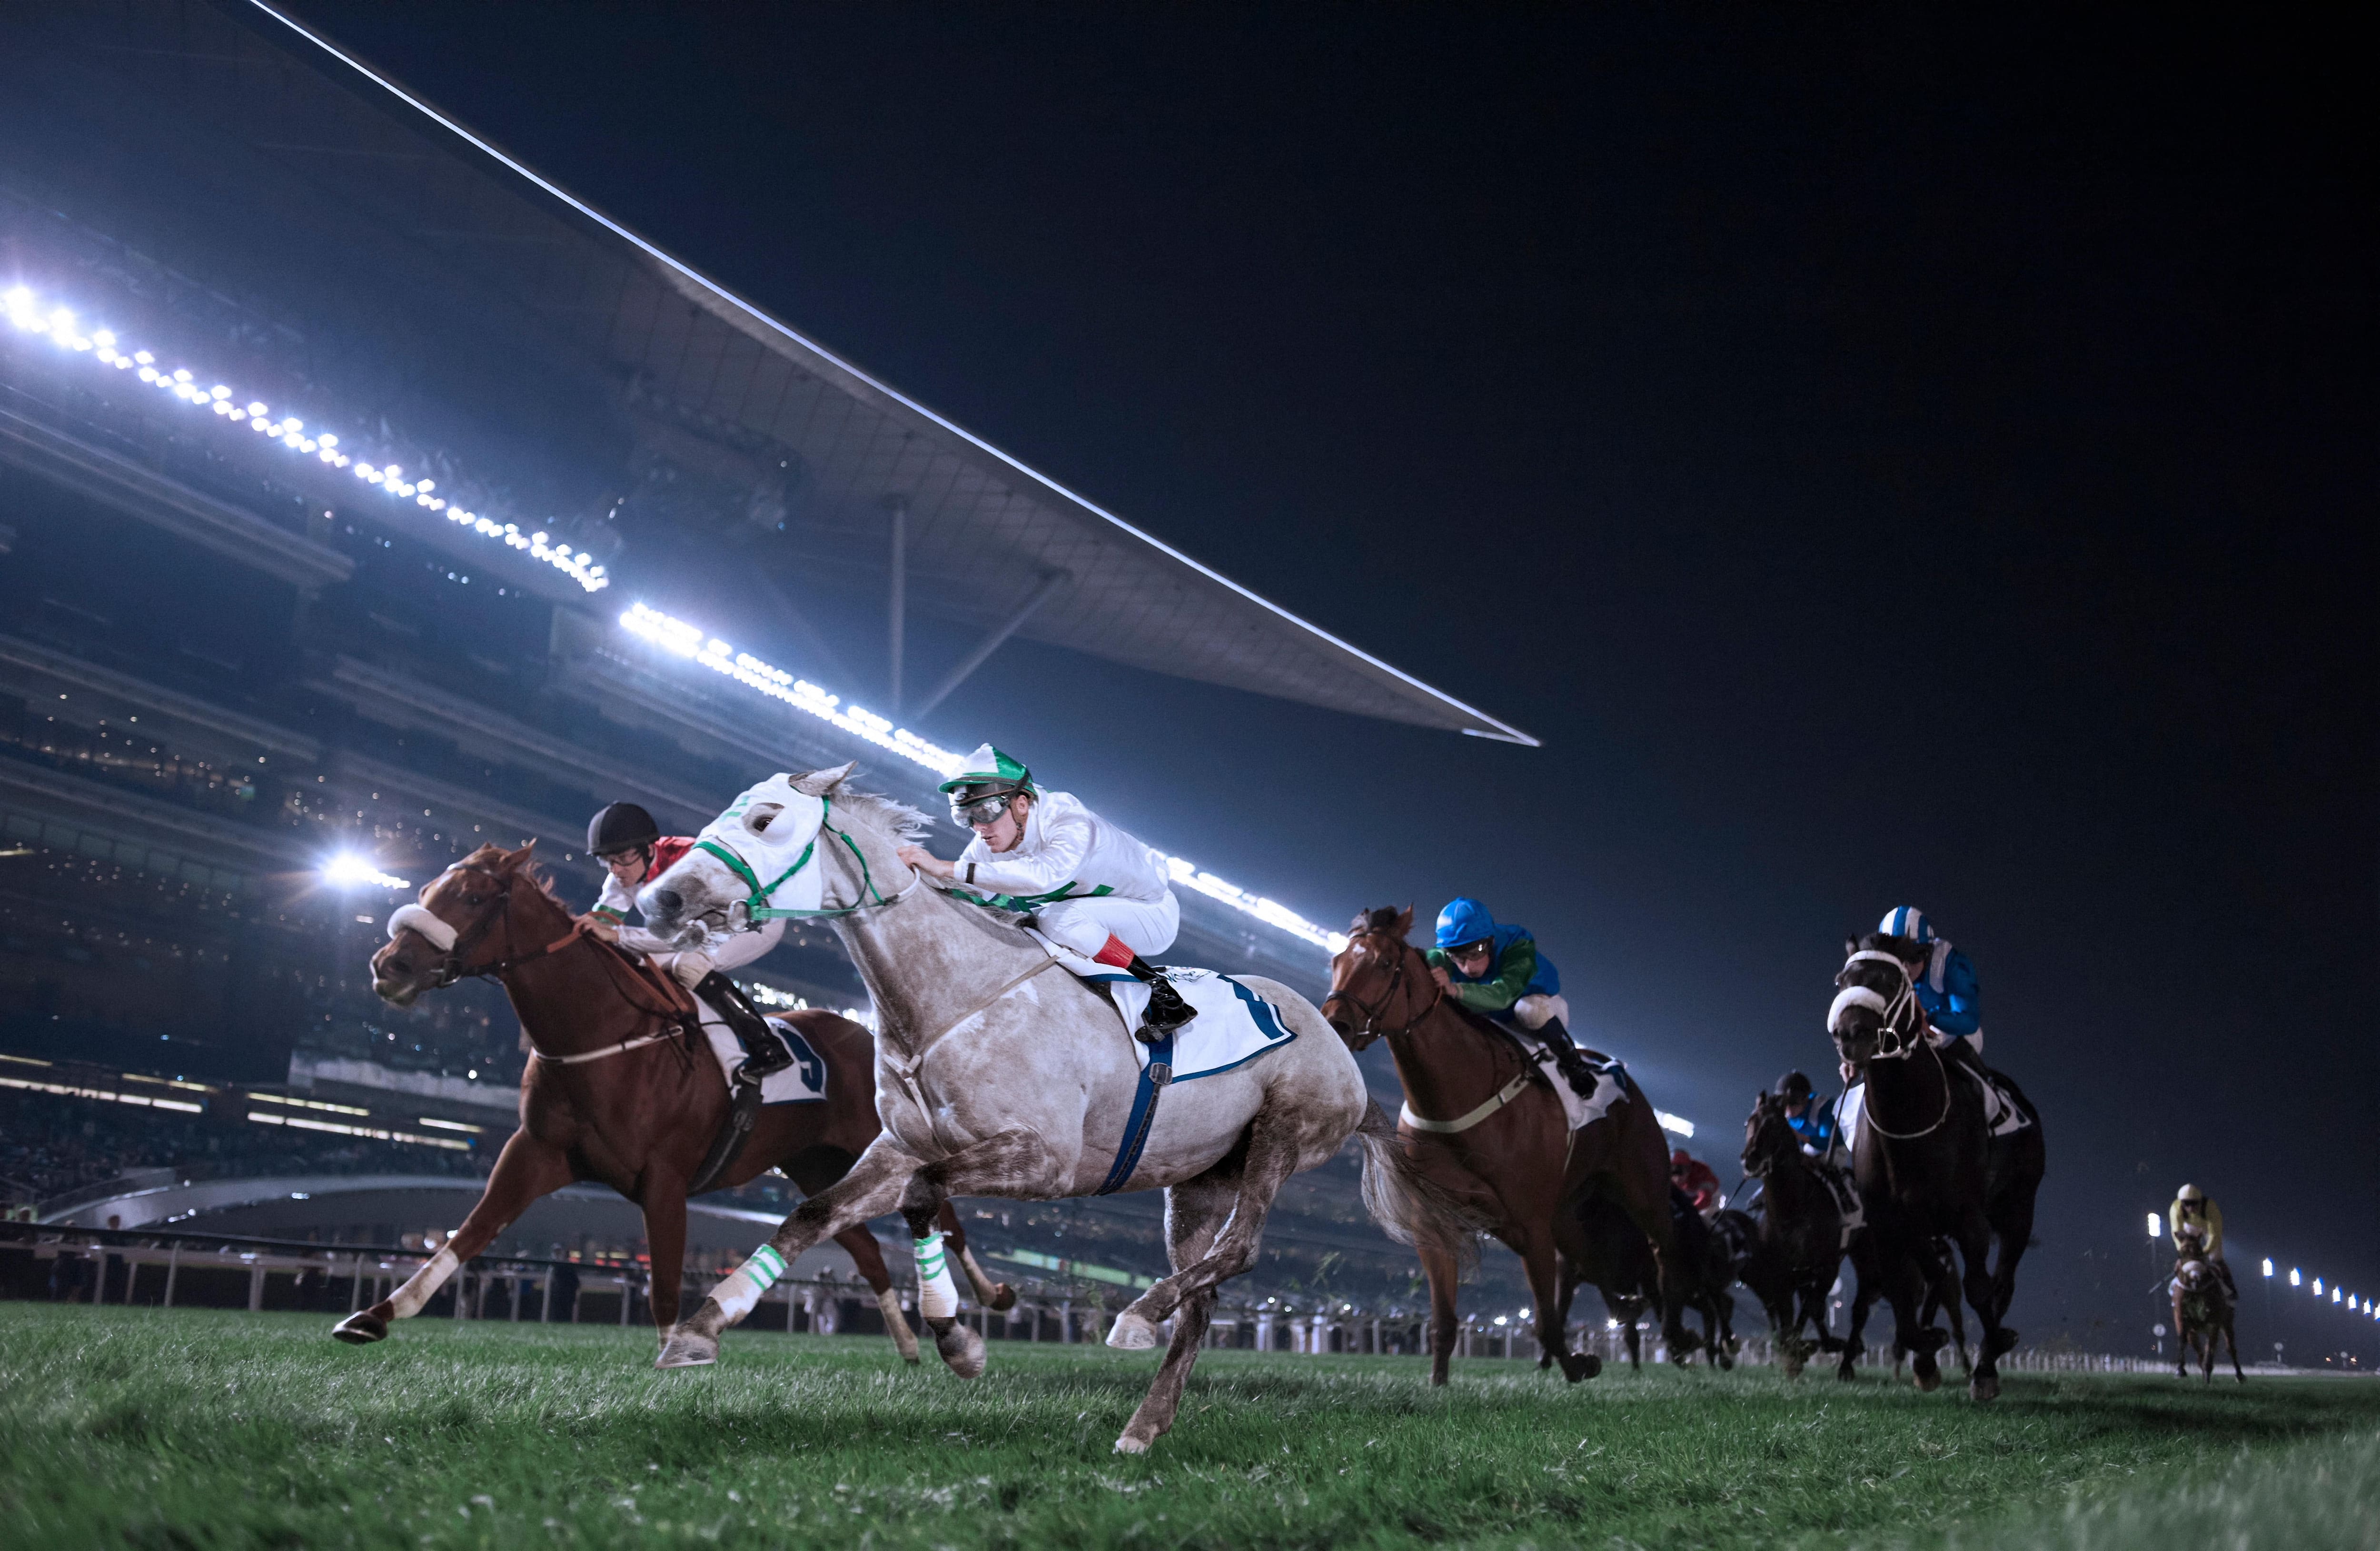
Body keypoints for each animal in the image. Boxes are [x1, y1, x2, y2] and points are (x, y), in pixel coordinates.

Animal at [336, 842, 1004, 1351]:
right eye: (428, 889)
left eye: (474, 898)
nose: (390, 966)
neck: (601, 1034)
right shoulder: (536, 1152)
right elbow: (470, 1233)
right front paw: (375, 1316)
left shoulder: (664, 1176)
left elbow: (663, 1281)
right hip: (814, 1163)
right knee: (864, 1248)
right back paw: (907, 1343)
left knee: (945, 1222)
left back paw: (991, 1296)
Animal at [643, 761, 1476, 1456]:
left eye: (765, 818)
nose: (659, 896)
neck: (953, 998)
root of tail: (1344, 1049)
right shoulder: (898, 1145)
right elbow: (815, 1212)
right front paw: (701, 1325)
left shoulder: (1041, 1159)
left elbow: (923, 1199)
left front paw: (959, 1338)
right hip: (1198, 1181)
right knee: (1204, 1291)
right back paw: (1144, 1423)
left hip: (1282, 1134)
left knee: (1236, 1253)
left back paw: (1137, 1316)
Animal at [1323, 904, 1695, 1389]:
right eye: (1336, 962)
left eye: (1385, 964)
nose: (1334, 1024)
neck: (1459, 1098)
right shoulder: (1436, 1222)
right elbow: (1444, 1322)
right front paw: (1438, 1386)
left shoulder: (1530, 1224)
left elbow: (1547, 1323)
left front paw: (1578, 1363)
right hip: (1568, 1208)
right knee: (1586, 1256)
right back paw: (1626, 1306)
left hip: (1642, 1187)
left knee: (1664, 1251)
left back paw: (1677, 1337)